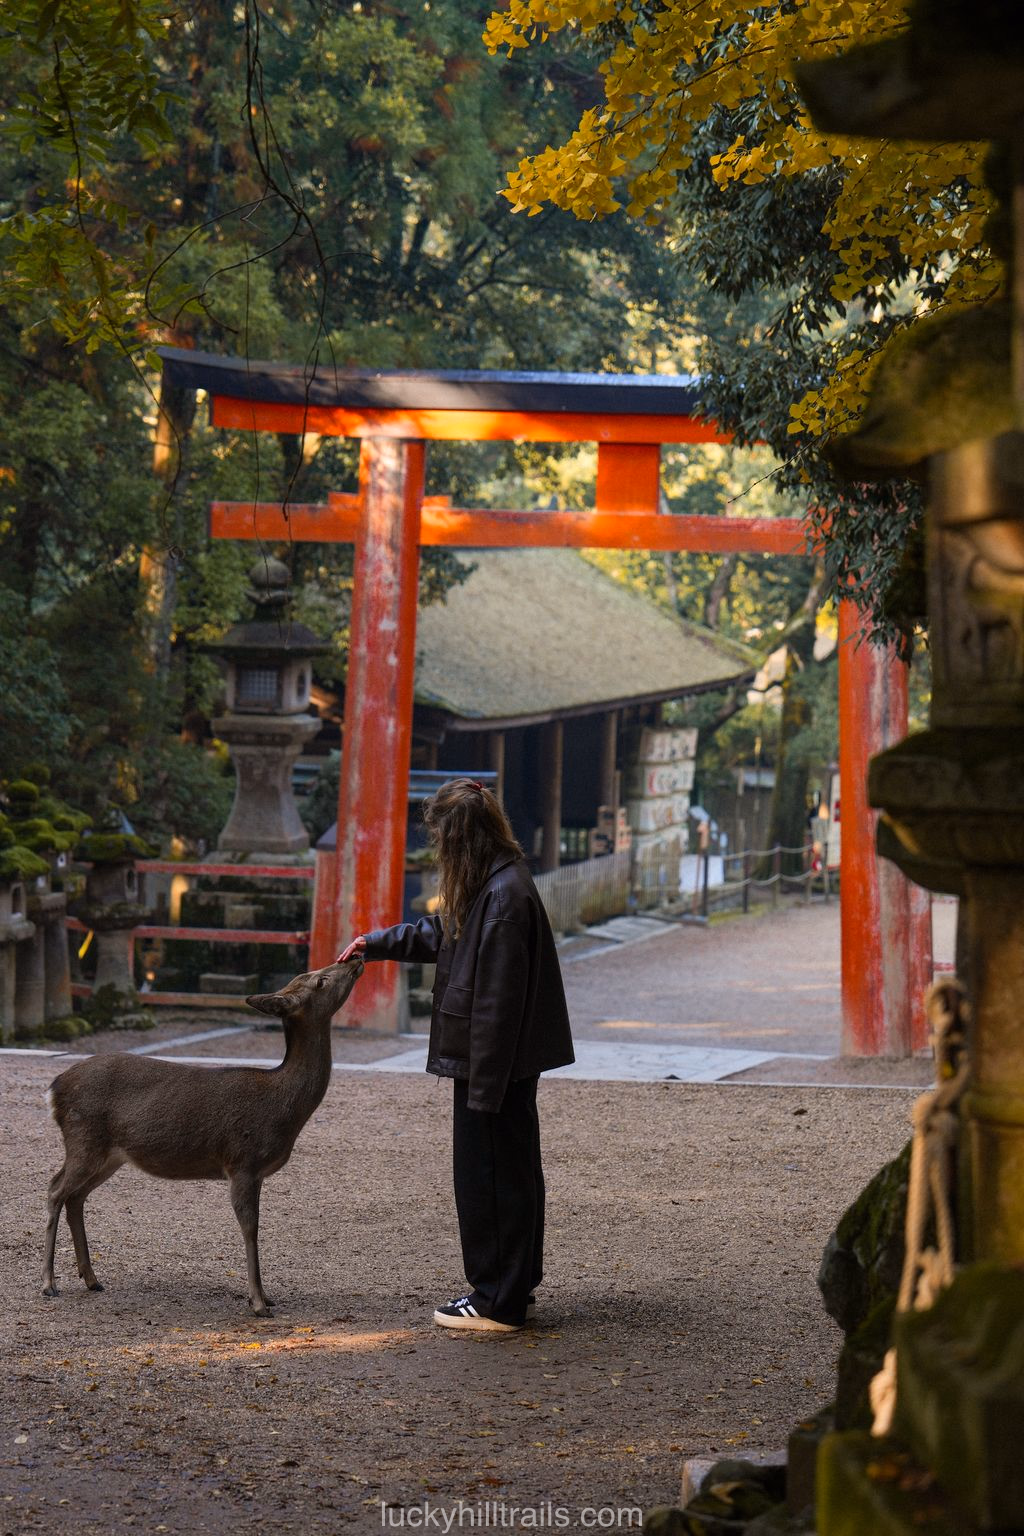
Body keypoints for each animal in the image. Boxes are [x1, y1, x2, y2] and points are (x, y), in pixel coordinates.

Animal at [42, 958, 363, 1315]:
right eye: (321, 981)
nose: (354, 959)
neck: (284, 1109)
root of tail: (54, 1088)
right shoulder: (243, 1161)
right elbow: (250, 1227)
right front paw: (258, 1302)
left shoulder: (255, 1171)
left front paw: (265, 1297)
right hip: (83, 1138)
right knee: (55, 1189)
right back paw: (49, 1283)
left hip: (109, 1154)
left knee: (75, 1197)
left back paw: (91, 1278)